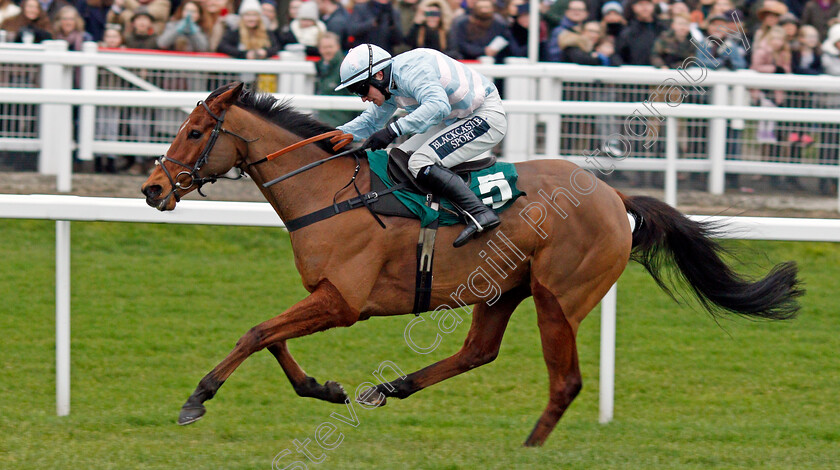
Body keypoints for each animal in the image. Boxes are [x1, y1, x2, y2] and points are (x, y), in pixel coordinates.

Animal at [139, 82, 800, 446]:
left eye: (194, 132)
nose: (152, 189)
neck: (329, 191)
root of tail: (614, 199)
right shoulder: (324, 294)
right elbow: (271, 336)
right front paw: (324, 388)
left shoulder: (343, 301)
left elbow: (256, 332)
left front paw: (197, 398)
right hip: (503, 290)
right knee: (478, 351)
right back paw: (391, 387)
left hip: (558, 298)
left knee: (565, 381)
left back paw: (529, 446)